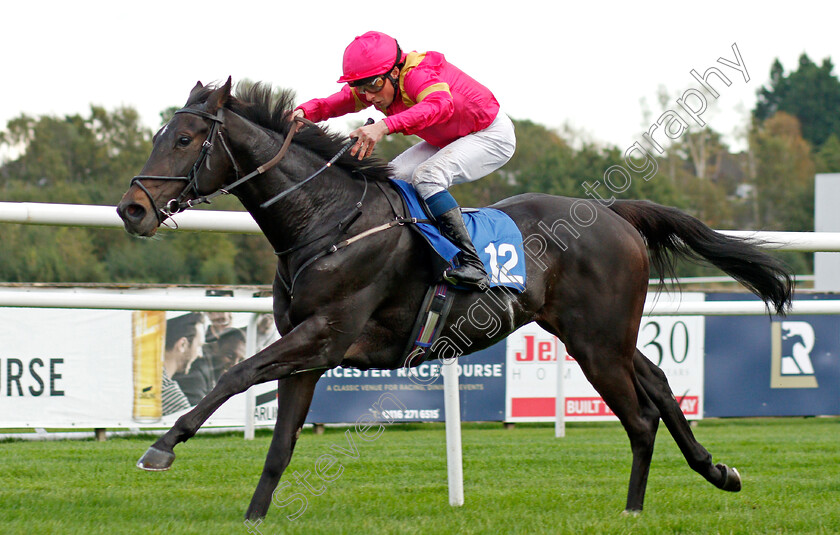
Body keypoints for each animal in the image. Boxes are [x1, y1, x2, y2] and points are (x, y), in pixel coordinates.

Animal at [115, 77, 792, 520]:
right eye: (157, 135)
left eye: (184, 139)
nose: (132, 209)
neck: (327, 220)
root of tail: (613, 213)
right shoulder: (306, 349)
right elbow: (280, 442)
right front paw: (254, 515)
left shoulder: (325, 335)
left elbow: (234, 373)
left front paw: (161, 447)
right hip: (603, 336)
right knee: (661, 388)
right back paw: (718, 472)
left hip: (598, 345)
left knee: (641, 417)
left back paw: (632, 509)